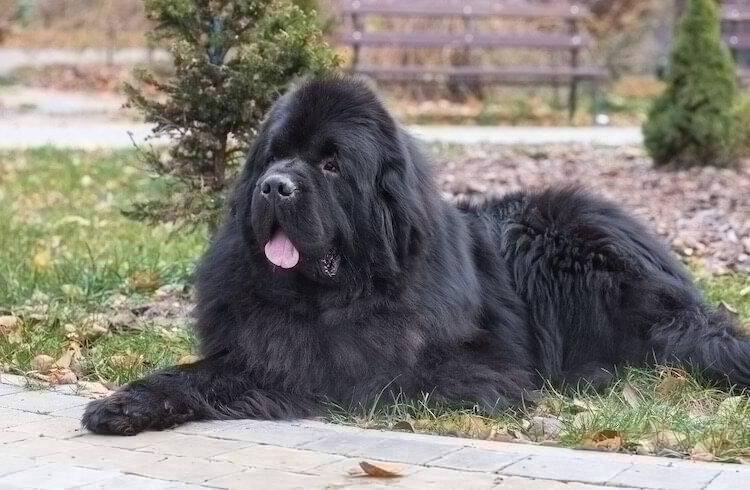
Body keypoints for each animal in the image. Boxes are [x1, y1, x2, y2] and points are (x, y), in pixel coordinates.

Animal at [82, 77, 750, 436]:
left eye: (331, 165)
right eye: (274, 155)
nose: (274, 186)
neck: (329, 295)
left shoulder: (438, 370)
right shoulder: (254, 343)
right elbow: (197, 373)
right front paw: (124, 403)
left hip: (554, 237)